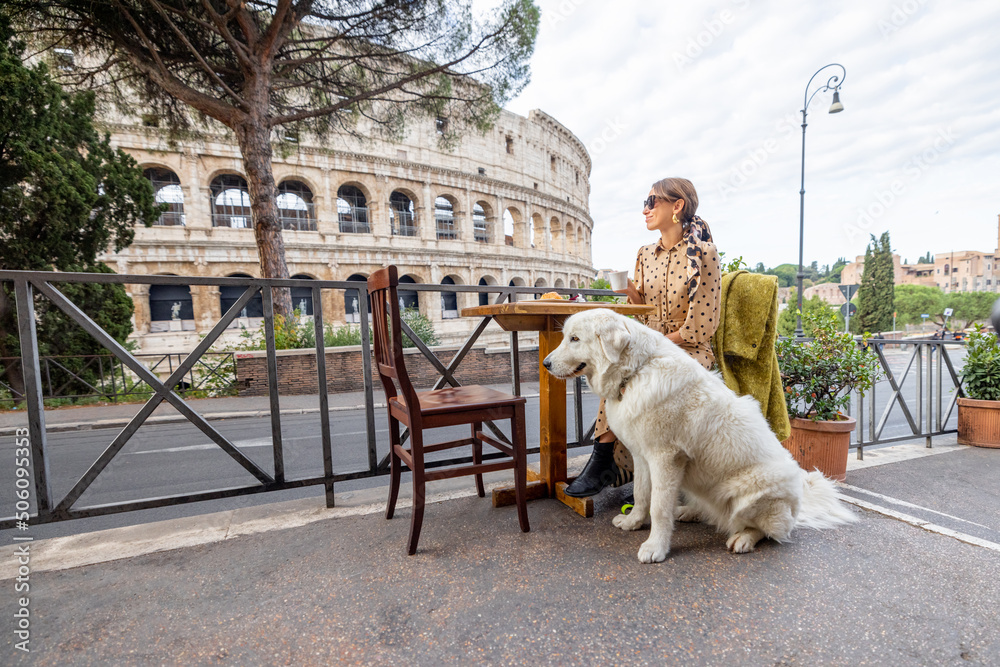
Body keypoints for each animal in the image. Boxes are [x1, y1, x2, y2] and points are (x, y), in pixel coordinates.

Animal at [544, 310, 856, 560]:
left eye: (574, 339)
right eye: (566, 337)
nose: (545, 364)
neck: (636, 372)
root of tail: (797, 506)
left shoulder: (665, 459)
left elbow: (658, 507)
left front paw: (655, 548)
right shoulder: (643, 457)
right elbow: (642, 495)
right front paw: (633, 522)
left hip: (752, 492)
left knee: (768, 531)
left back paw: (743, 538)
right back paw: (689, 512)